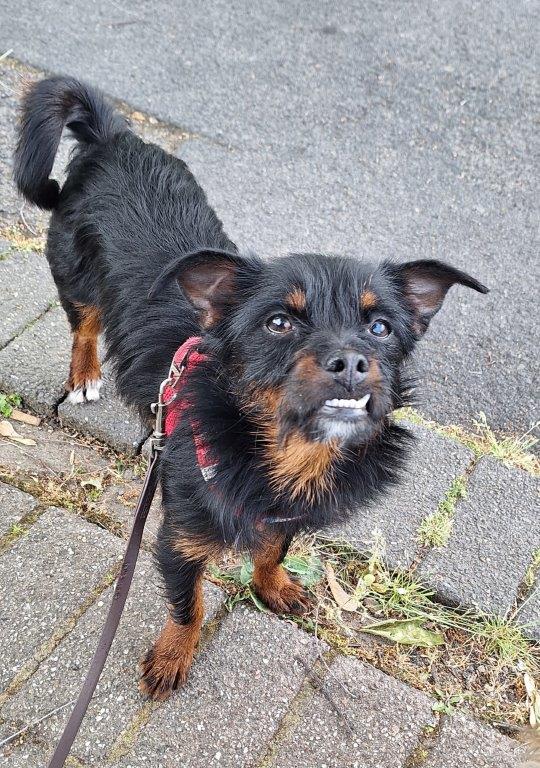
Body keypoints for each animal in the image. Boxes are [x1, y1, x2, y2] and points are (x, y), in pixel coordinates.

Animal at [14, 77, 488, 700]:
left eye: (381, 327)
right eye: (278, 322)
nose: (351, 362)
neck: (279, 451)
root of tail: (111, 138)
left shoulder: (280, 517)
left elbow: (272, 549)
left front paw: (274, 585)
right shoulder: (179, 537)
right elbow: (187, 604)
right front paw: (172, 657)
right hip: (73, 273)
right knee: (86, 323)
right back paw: (85, 375)